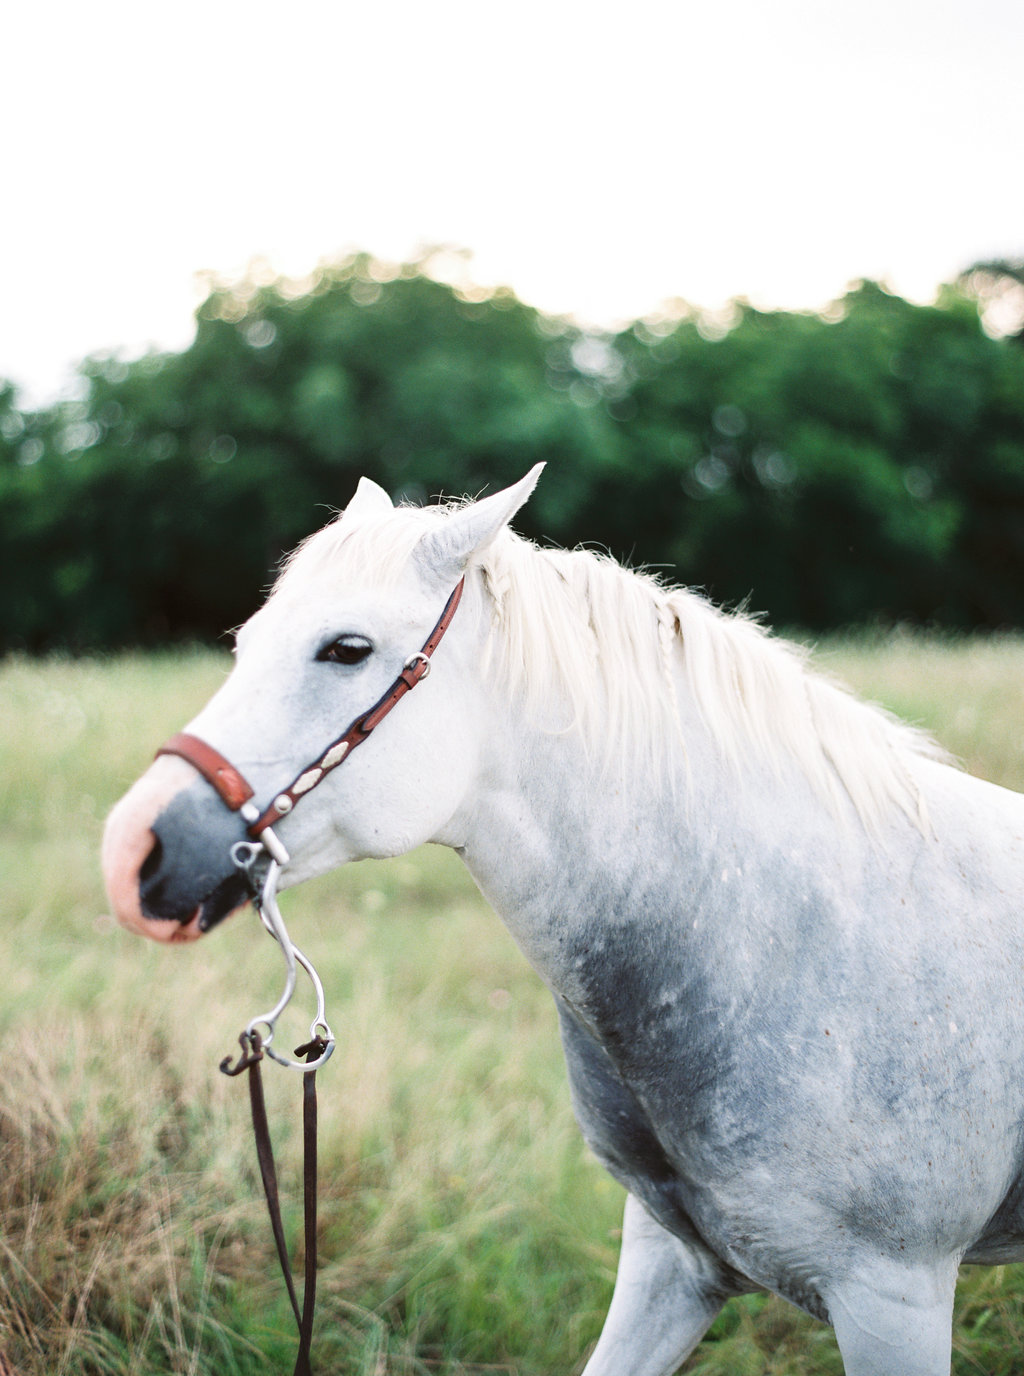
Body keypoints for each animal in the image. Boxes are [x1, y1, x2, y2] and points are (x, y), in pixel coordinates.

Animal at [105, 467, 1024, 1370]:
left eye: (347, 649)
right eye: (245, 643)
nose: (128, 851)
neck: (783, 939)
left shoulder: (892, 1295)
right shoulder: (672, 1262)